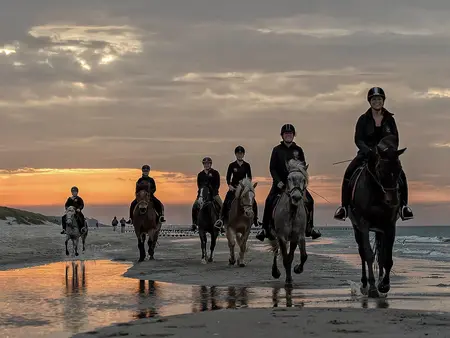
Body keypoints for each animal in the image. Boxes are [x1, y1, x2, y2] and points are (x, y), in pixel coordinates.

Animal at [270, 158, 310, 288]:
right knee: (275, 250)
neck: (292, 212)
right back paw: (275, 272)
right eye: (289, 178)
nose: (296, 197)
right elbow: (286, 258)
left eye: (303, 179)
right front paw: (288, 280)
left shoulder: (297, 236)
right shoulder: (281, 236)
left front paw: (297, 270)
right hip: (273, 234)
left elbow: (301, 256)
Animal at [346, 135, 406, 298]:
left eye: (399, 168)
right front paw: (373, 287)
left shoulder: (389, 226)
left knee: (380, 254)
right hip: (357, 229)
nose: (393, 200)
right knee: (362, 253)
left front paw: (384, 285)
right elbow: (368, 255)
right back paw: (365, 285)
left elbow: (386, 258)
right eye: (380, 168)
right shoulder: (363, 225)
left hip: (379, 230)